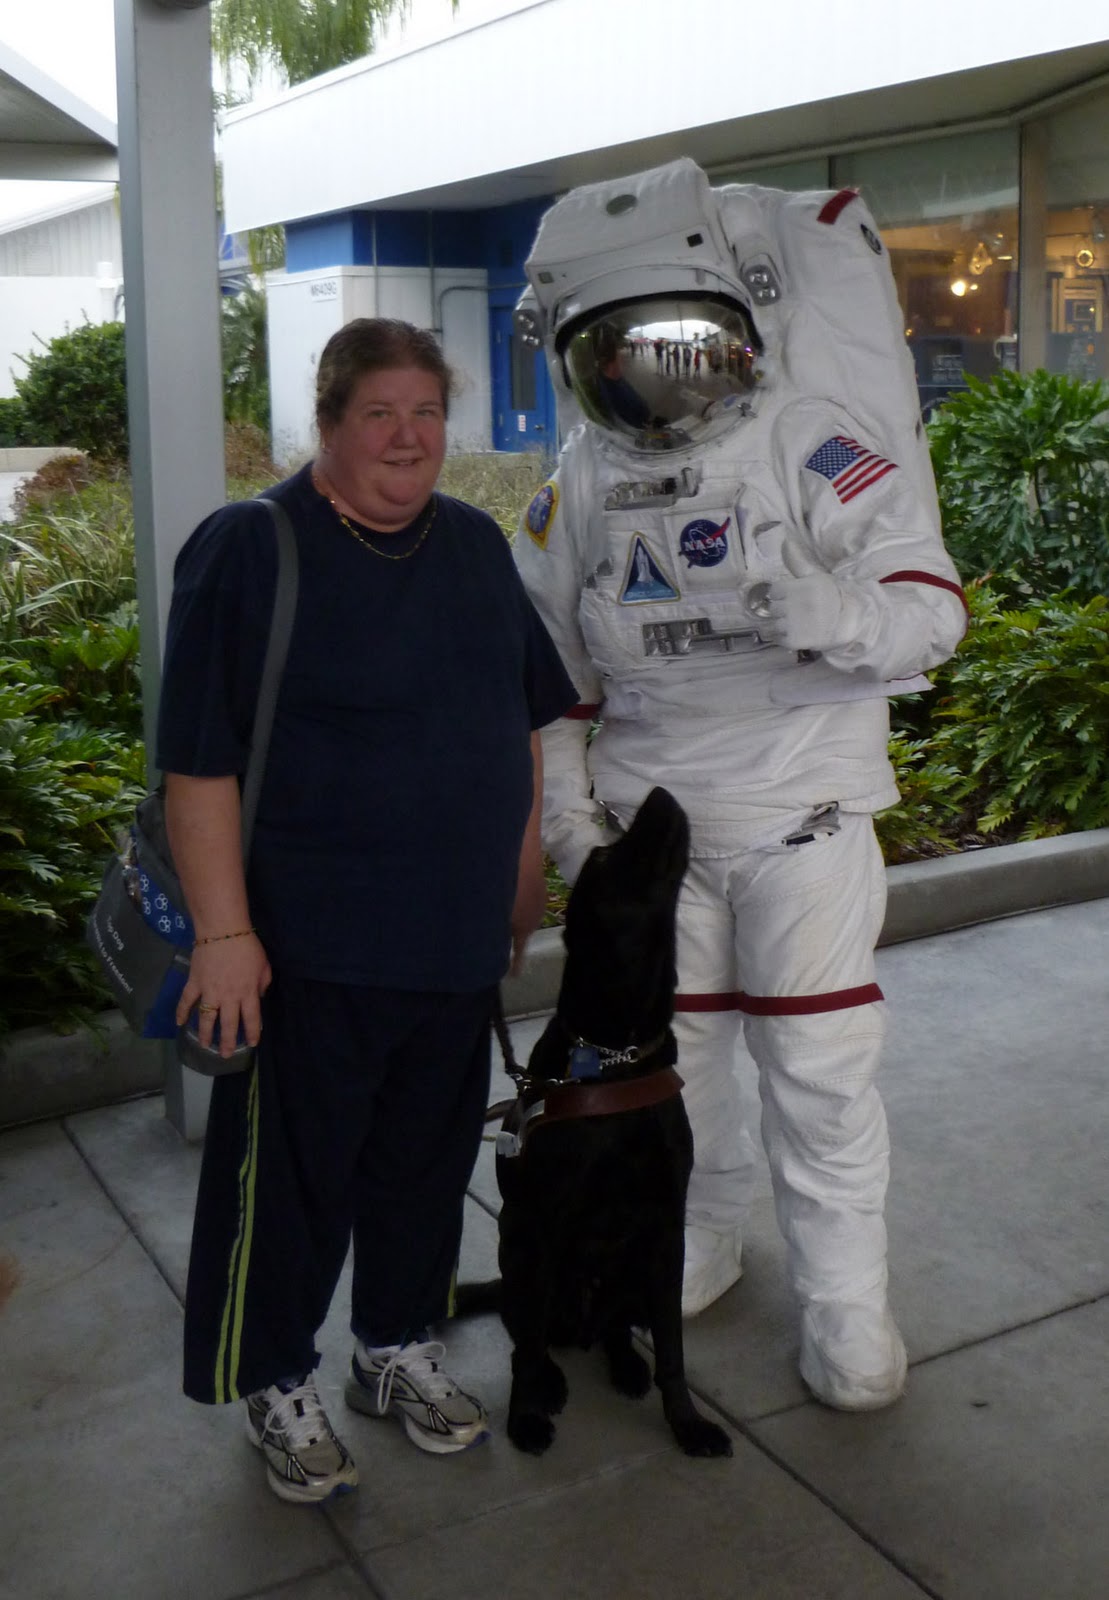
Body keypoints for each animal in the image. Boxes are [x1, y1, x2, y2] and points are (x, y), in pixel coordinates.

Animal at [490, 785, 731, 1458]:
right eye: (601, 858)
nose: (659, 791)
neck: (615, 1058)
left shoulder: (667, 1231)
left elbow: (673, 1351)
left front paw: (687, 1424)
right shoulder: (540, 1227)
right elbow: (525, 1354)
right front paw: (525, 1418)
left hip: (630, 1274)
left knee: (617, 1332)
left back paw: (626, 1367)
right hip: (516, 1257)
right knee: (531, 1340)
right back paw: (551, 1381)